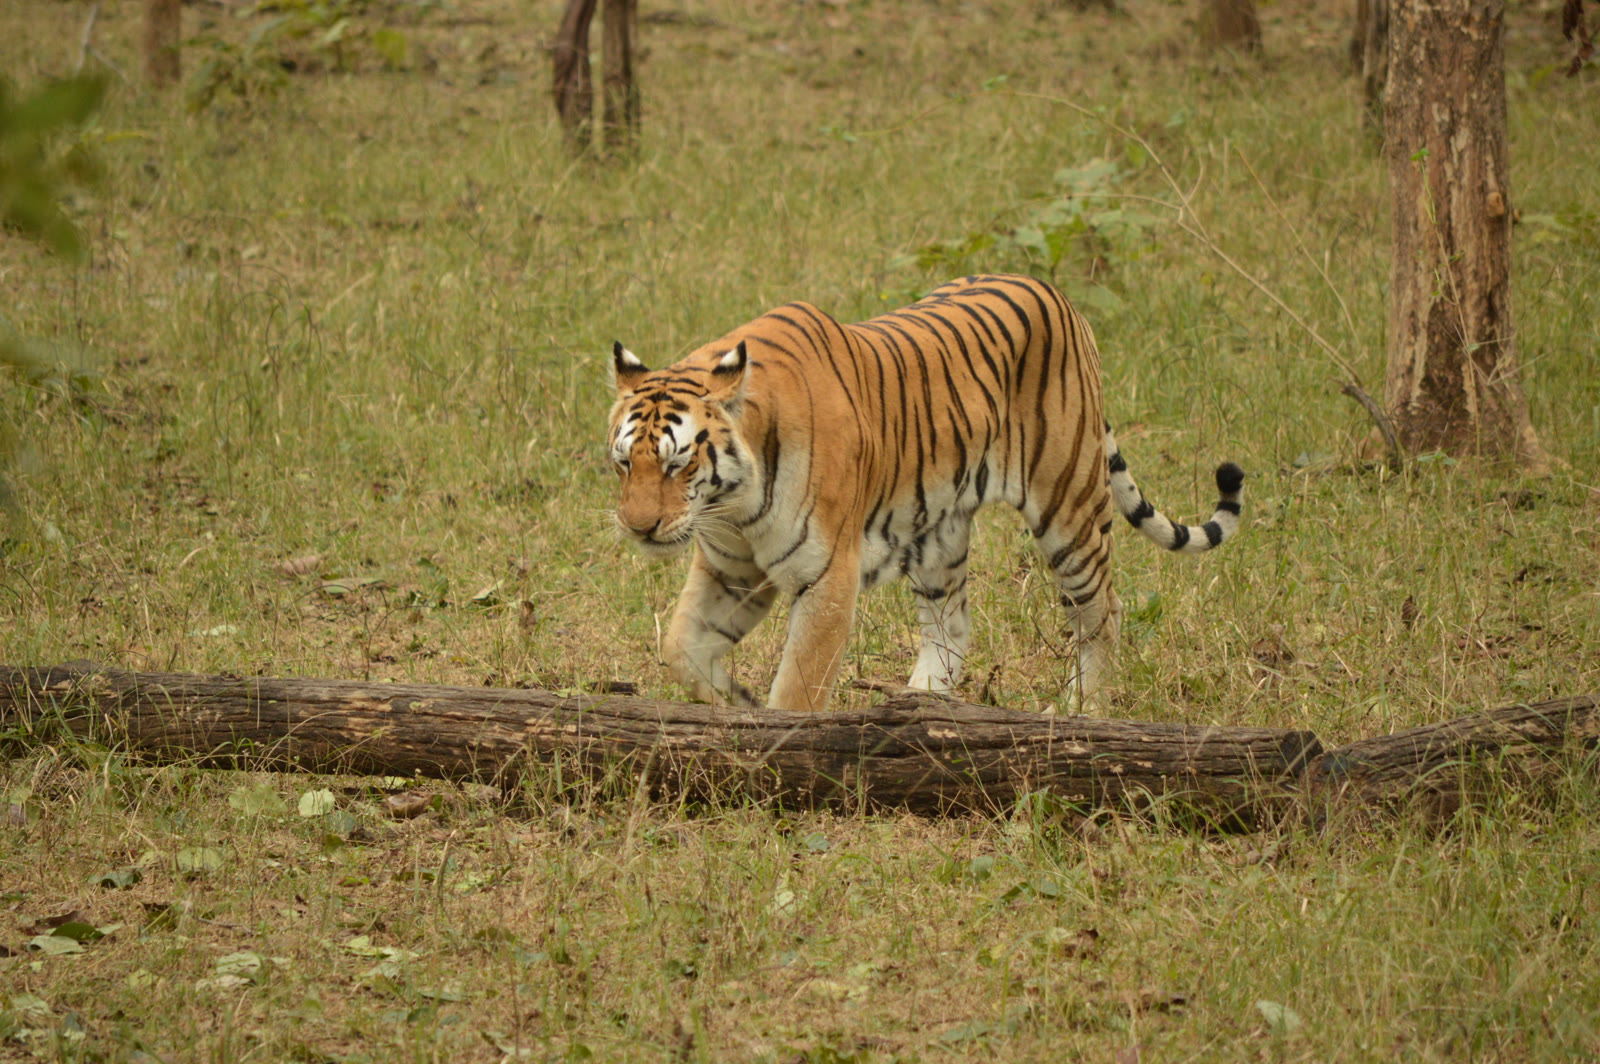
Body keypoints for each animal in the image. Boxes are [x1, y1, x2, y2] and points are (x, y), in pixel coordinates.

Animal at [605, 274, 1244, 713]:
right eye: (624, 464)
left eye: (677, 464)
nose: (639, 527)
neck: (731, 505)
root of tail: (1058, 295)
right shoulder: (731, 568)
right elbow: (681, 647)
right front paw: (736, 701)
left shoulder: (825, 575)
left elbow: (798, 688)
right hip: (940, 533)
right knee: (953, 625)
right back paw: (920, 705)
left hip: (1071, 509)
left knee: (1102, 610)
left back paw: (1080, 710)